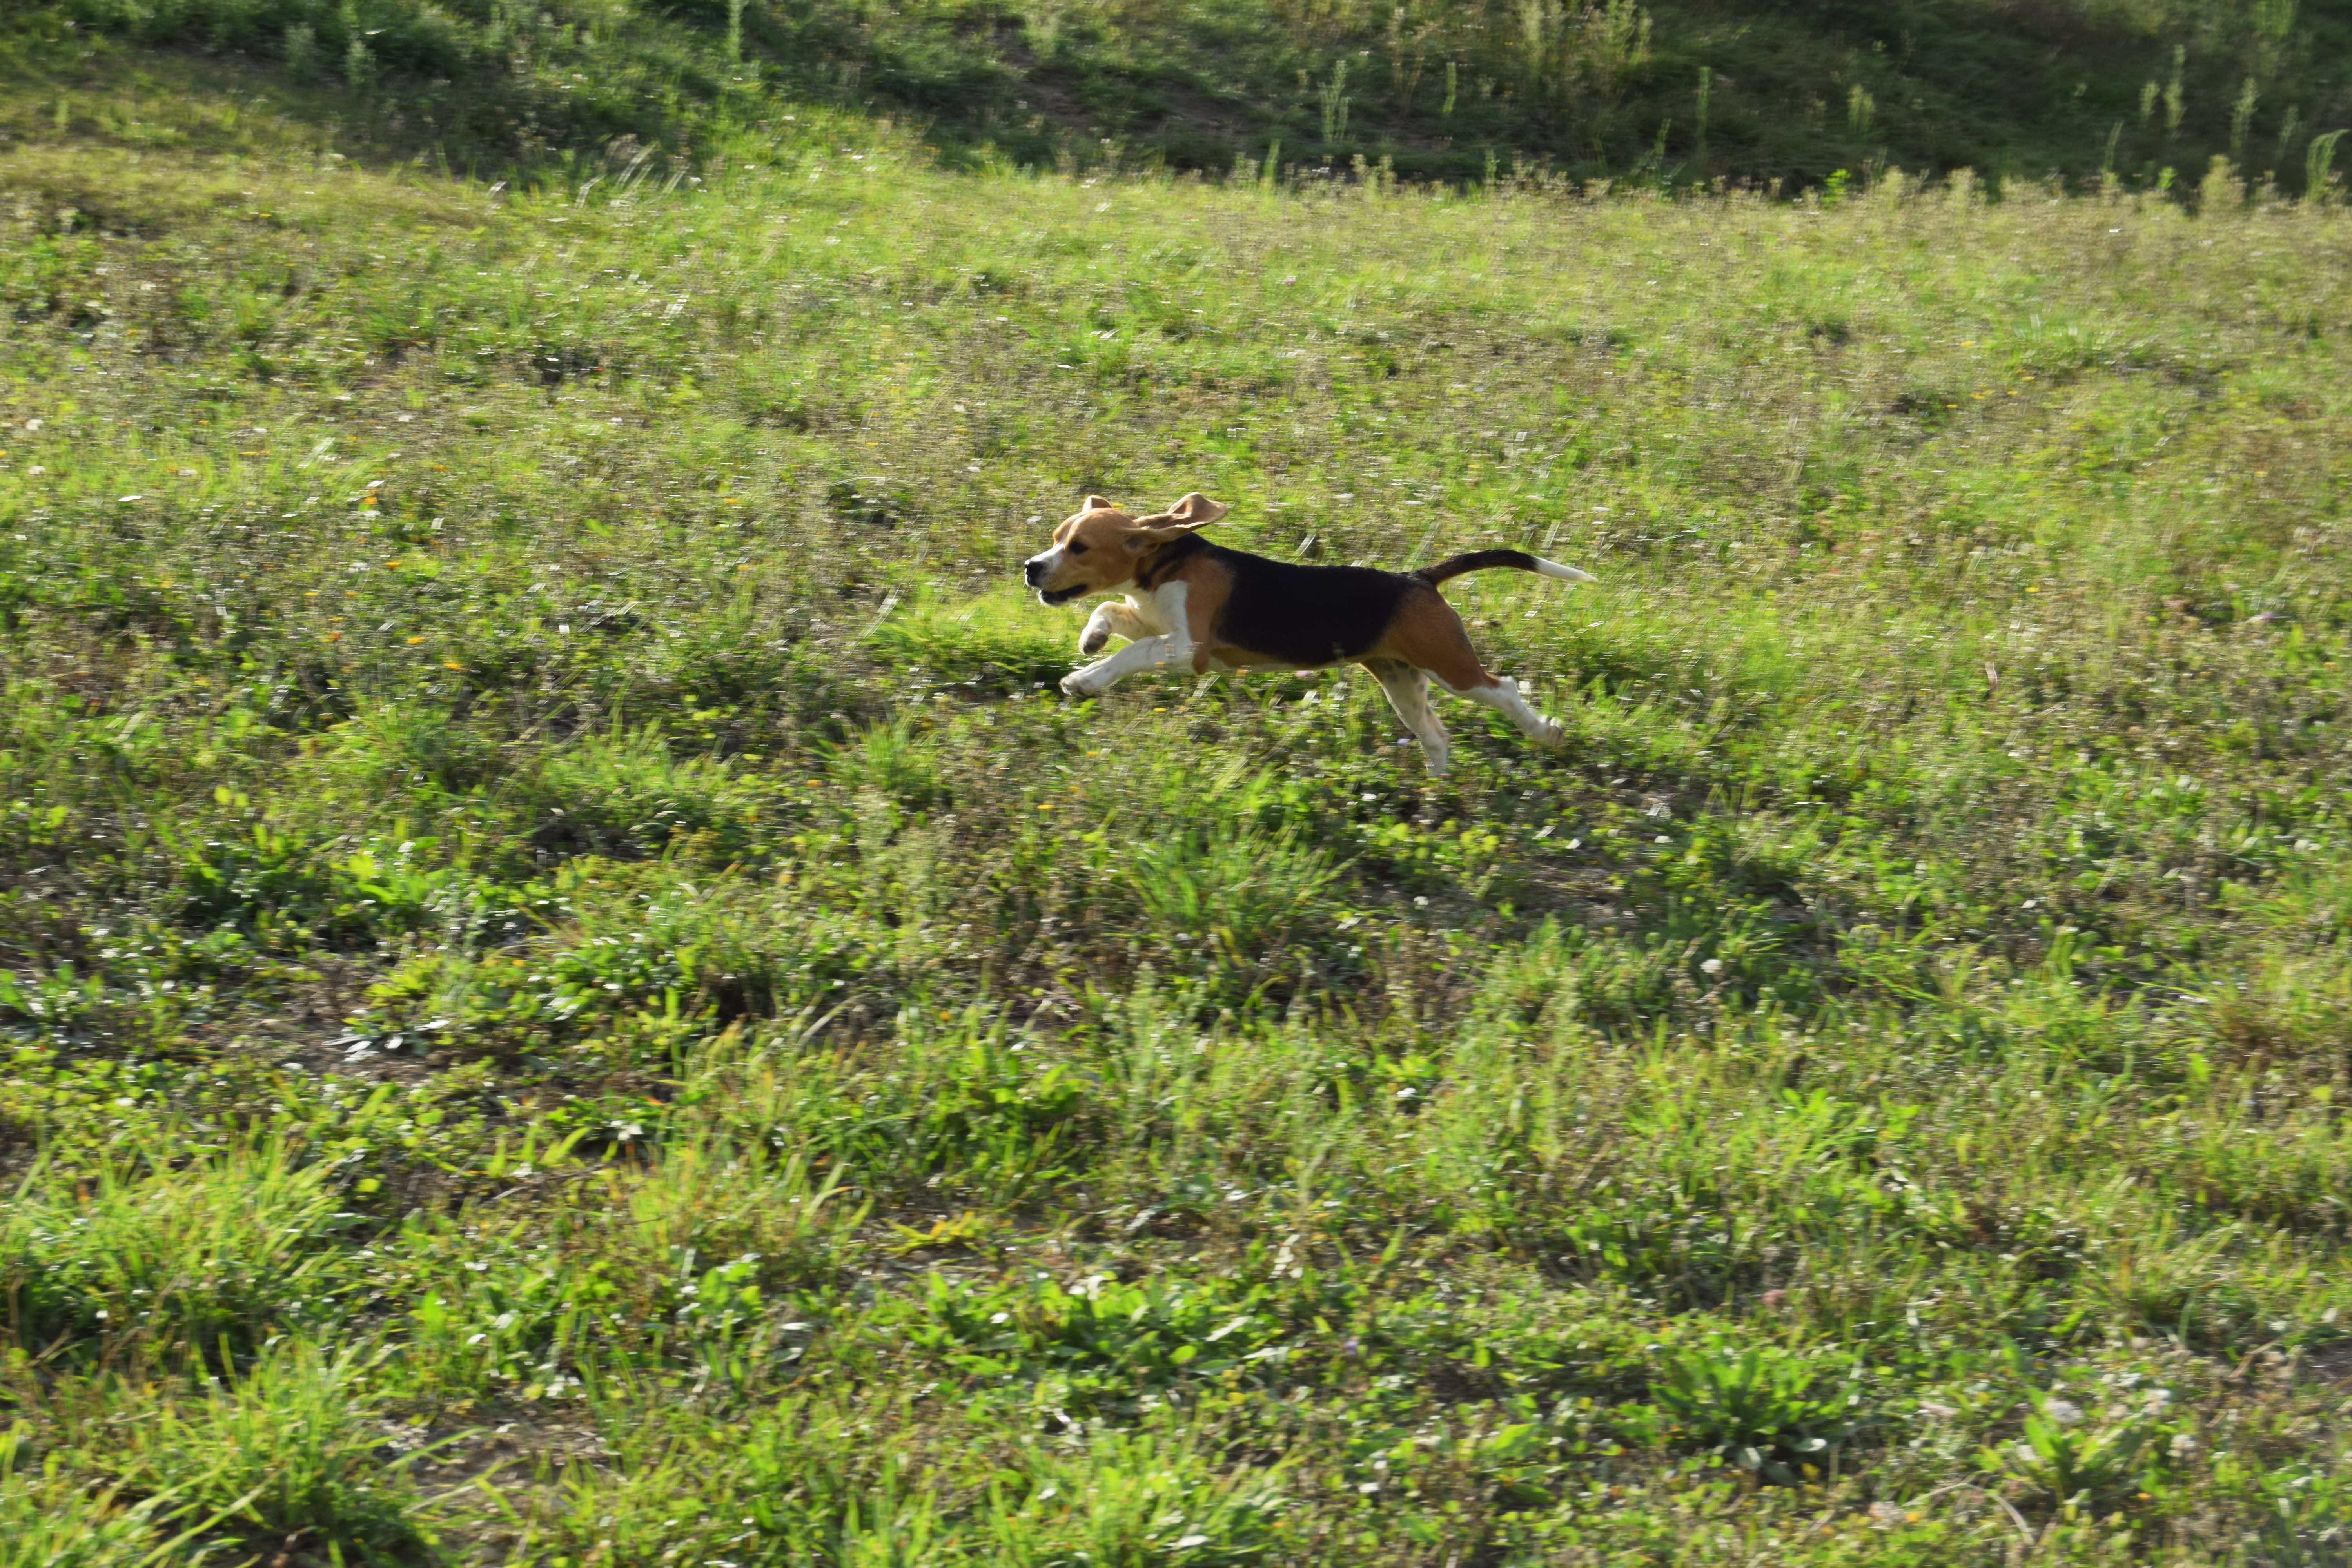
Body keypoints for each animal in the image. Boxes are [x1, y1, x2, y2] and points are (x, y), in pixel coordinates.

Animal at [1025, 494, 1599, 776]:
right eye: (1056, 538)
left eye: (1080, 547)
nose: (1032, 568)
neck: (1164, 564)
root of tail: (1417, 578)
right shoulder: (1155, 622)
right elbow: (1110, 609)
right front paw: (1093, 639)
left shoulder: (1191, 649)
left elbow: (1135, 651)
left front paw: (1086, 679)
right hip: (1401, 681)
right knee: (1436, 735)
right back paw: (1436, 792)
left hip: (1450, 666)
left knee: (1504, 690)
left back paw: (1545, 733)